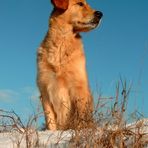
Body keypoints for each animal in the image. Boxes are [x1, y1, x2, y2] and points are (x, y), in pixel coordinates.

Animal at [36, 0, 103, 130]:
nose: (100, 14)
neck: (61, 43)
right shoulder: (44, 90)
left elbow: (80, 119)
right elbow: (50, 122)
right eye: (80, 3)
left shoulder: (79, 88)